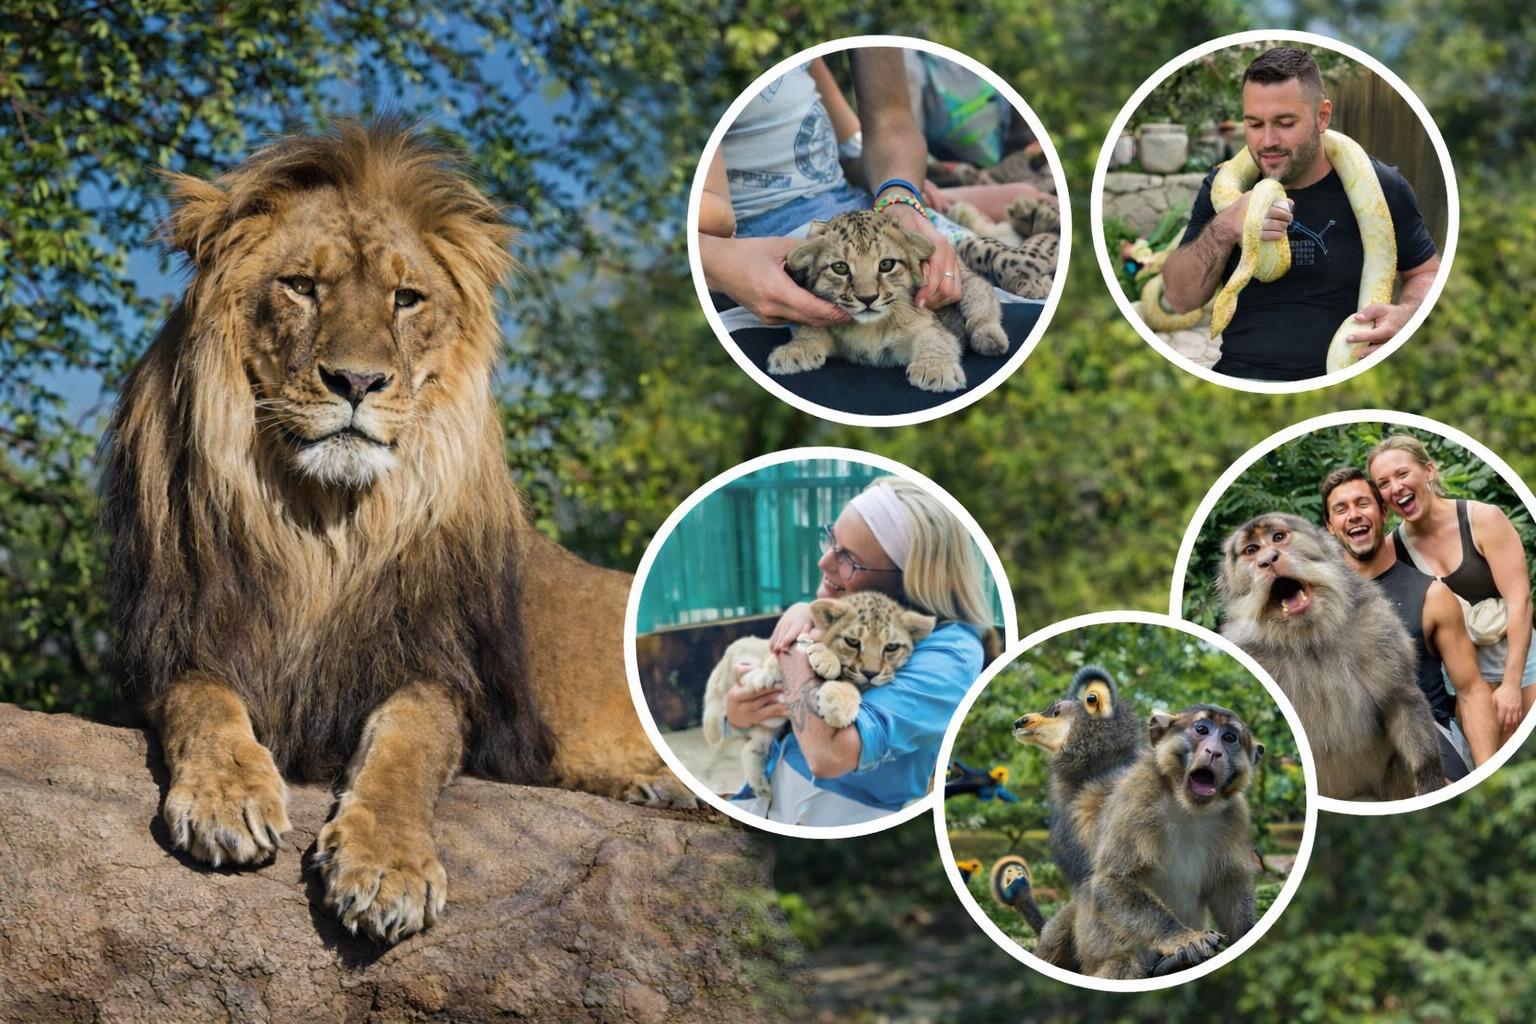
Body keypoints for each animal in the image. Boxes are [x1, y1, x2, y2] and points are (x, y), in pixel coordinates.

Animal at [1072, 705, 1263, 979]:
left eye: (1229, 738)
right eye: (1201, 729)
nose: (1214, 751)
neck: (1187, 807)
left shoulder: (1235, 815)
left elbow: (1229, 886)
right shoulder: (1139, 795)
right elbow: (1113, 880)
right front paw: (1183, 938)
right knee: (1123, 964)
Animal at [1218, 513, 1445, 801]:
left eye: (1278, 537)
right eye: (1251, 550)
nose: (1267, 560)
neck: (1309, 638)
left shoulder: (1378, 627)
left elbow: (1401, 698)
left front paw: (1429, 778)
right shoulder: (1249, 651)